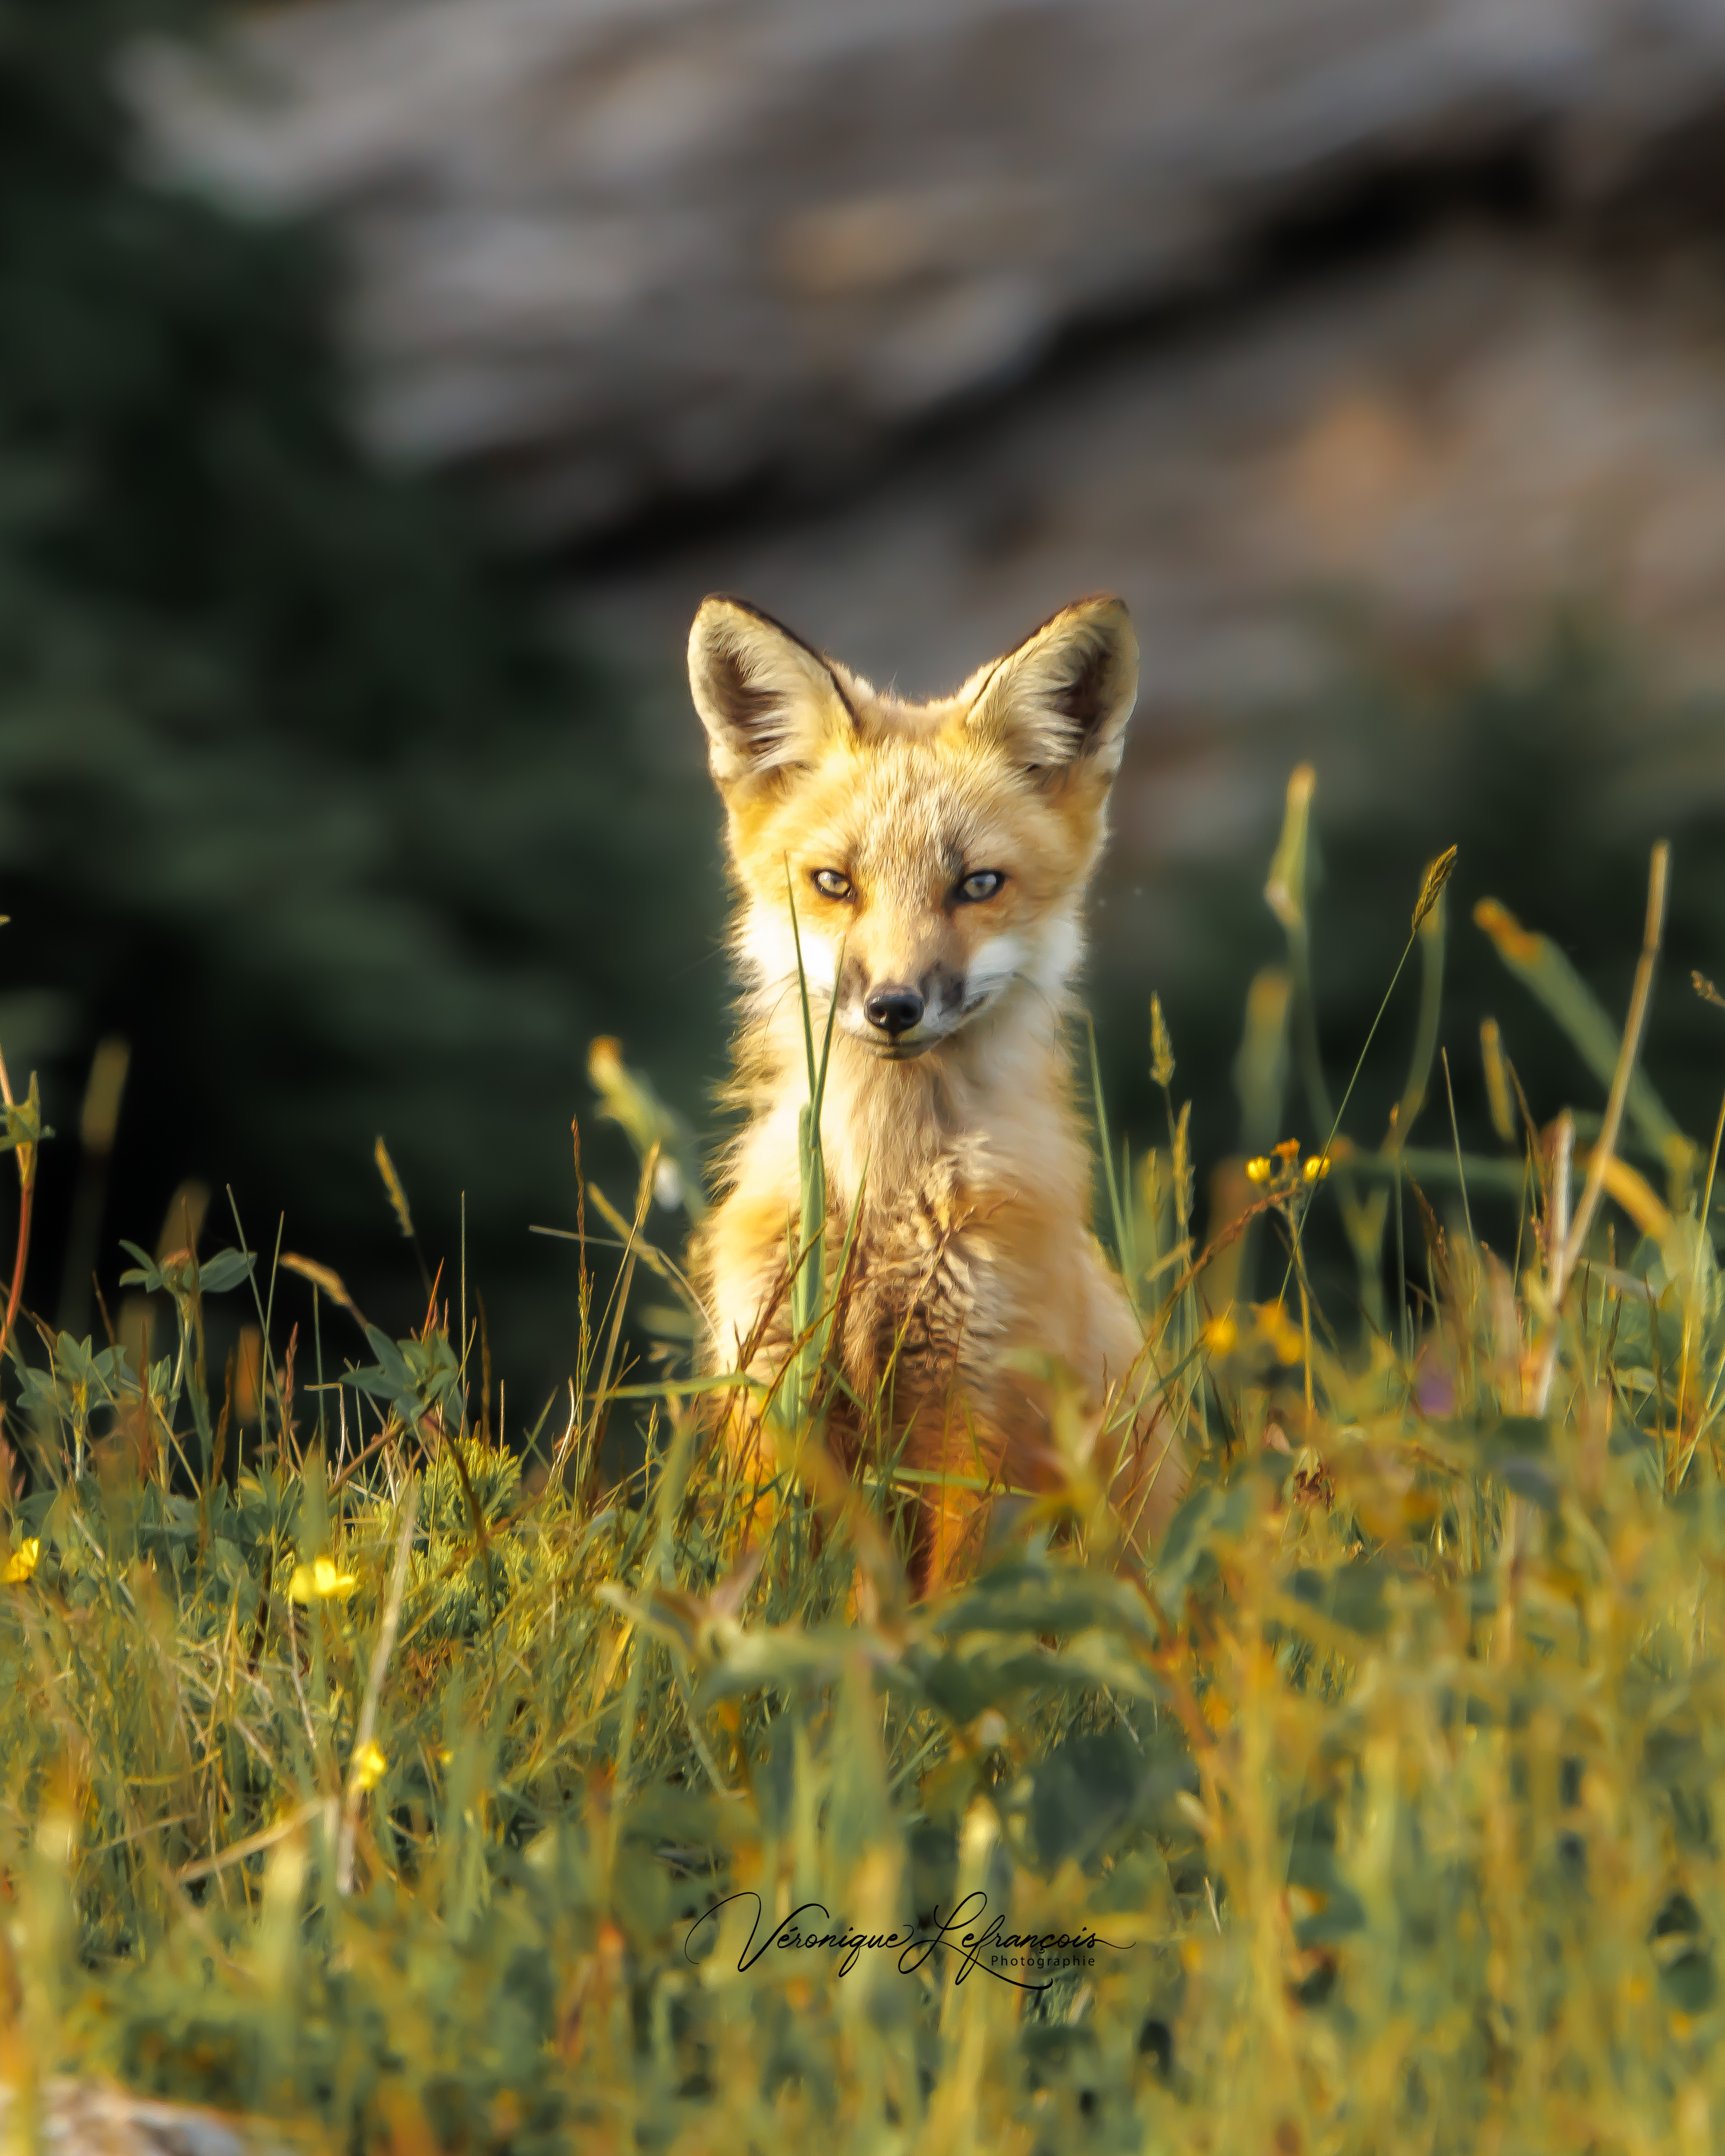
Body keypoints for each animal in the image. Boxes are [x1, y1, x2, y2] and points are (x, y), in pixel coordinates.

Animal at [686, 591, 1185, 1594]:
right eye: (833, 883)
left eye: (977, 885)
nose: (892, 1007)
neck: (881, 1203)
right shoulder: (772, 1393)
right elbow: (769, 1589)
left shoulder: (981, 1410)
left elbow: (946, 1605)